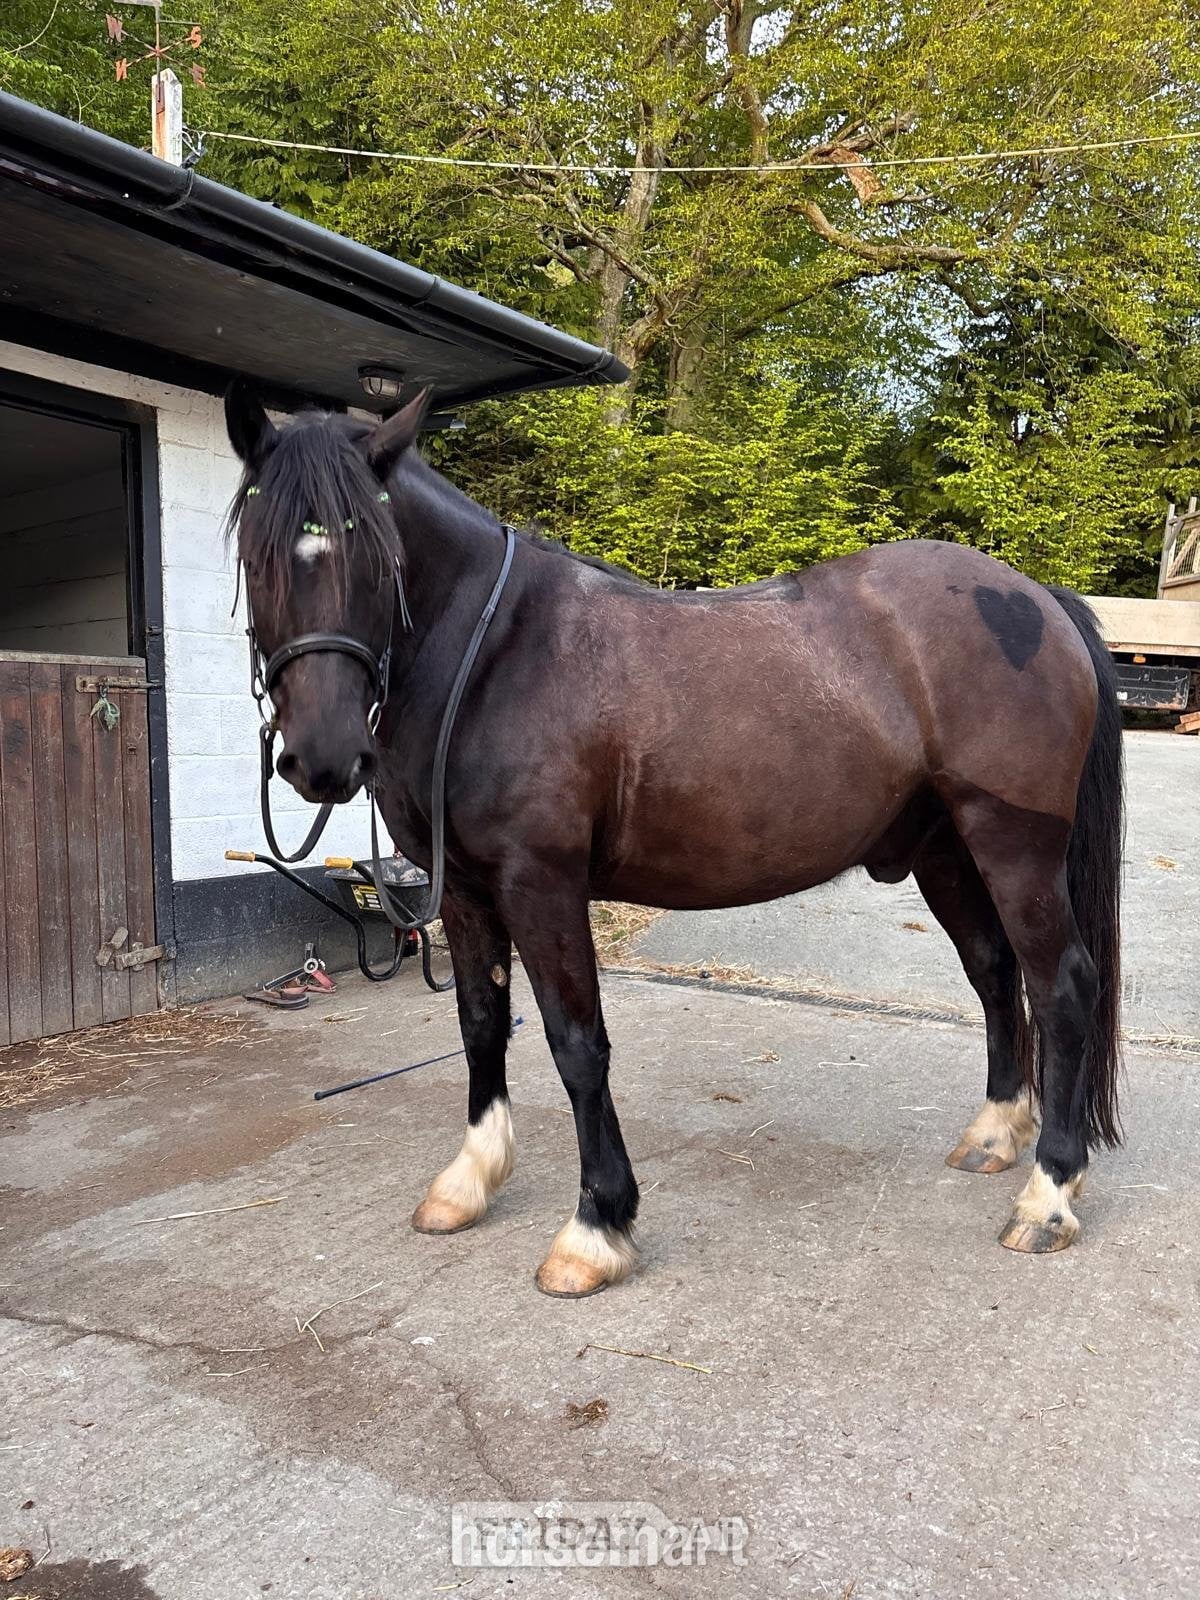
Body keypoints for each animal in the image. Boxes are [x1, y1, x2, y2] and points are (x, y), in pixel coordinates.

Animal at [224, 384, 1123, 1298]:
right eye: (256, 557)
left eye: (378, 557)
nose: (323, 758)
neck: (496, 655)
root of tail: (1037, 598)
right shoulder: (468, 891)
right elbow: (481, 1023)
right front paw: (469, 1181)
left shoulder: (540, 884)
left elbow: (575, 1043)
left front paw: (597, 1228)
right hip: (947, 852)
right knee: (994, 971)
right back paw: (995, 1136)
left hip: (1015, 850)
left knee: (1062, 986)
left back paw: (1049, 1195)